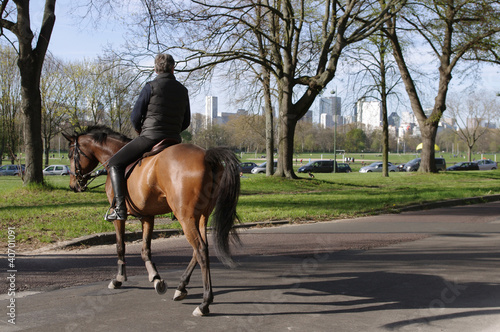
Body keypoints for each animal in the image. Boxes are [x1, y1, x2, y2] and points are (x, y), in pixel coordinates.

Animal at [62, 126, 242, 316]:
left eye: (70, 153)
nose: (74, 185)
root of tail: (207, 155)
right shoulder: (147, 217)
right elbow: (145, 249)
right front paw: (155, 277)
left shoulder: (119, 217)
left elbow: (120, 246)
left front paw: (119, 278)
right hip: (201, 217)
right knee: (200, 249)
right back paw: (181, 287)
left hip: (186, 217)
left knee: (200, 250)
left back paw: (204, 303)